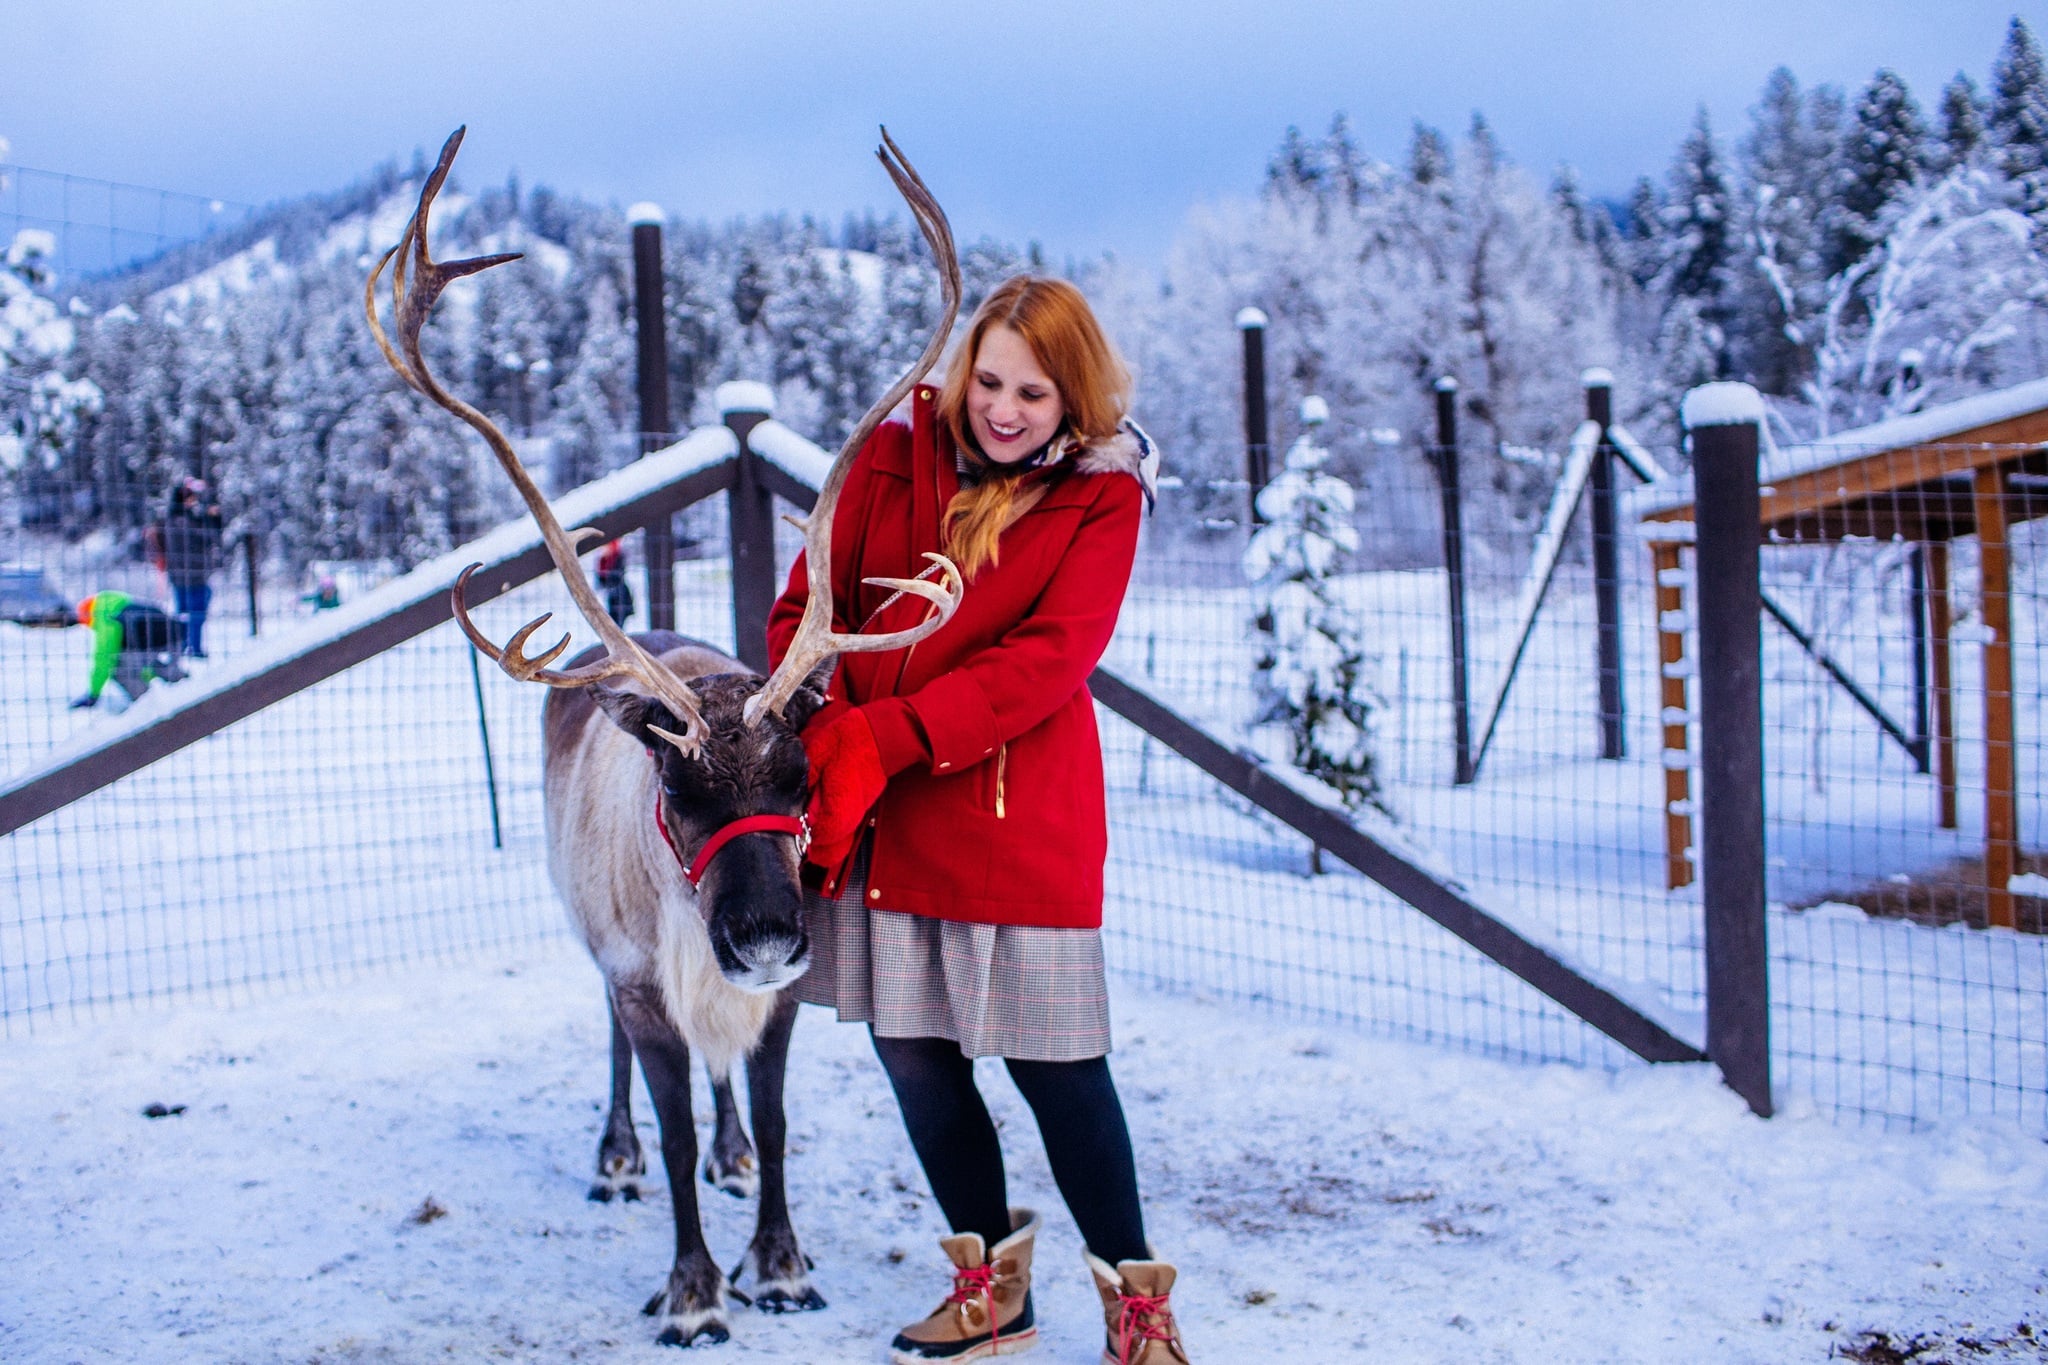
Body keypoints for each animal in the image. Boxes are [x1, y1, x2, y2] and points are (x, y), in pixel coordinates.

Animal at [364, 126, 965, 1348]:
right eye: (676, 786)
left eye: (801, 774)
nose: (768, 930)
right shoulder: (644, 980)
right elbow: (672, 1120)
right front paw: (693, 1290)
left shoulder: (782, 993)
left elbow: (773, 1120)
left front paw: (776, 1263)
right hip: (589, 932)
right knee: (615, 1051)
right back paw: (614, 1156)